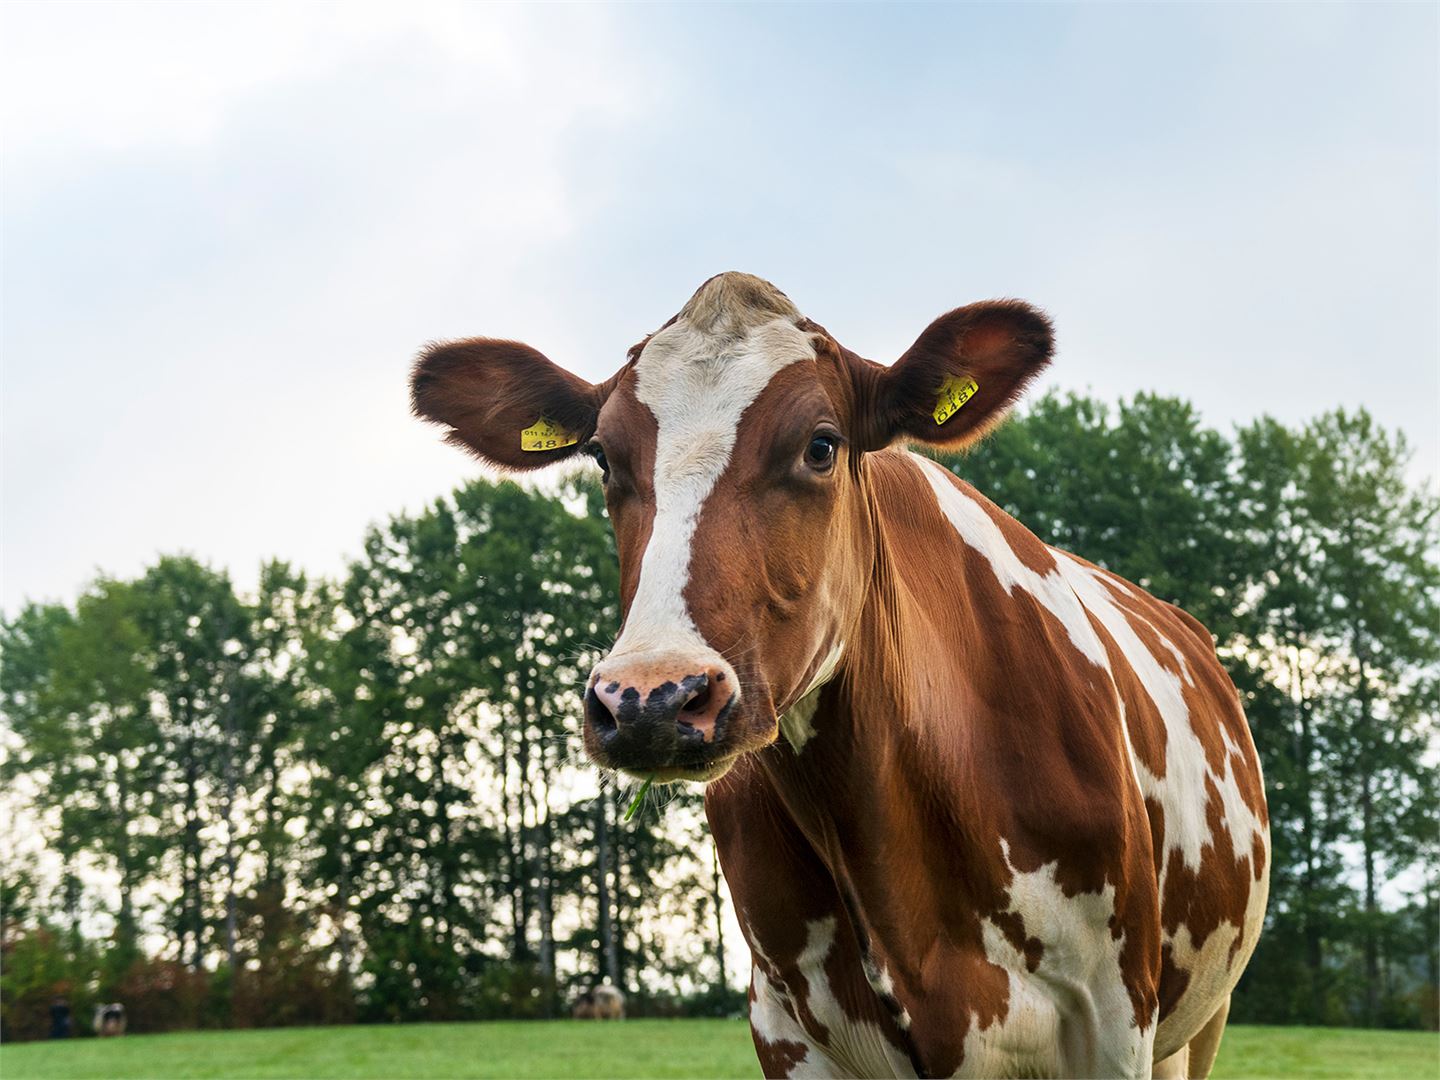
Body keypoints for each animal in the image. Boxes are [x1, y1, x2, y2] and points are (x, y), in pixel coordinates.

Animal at [408, 275, 1272, 1077]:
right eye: (602, 456)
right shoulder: (787, 1026)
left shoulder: (1113, 1017)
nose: (651, 699)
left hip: (1200, 1021)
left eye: (820, 445)